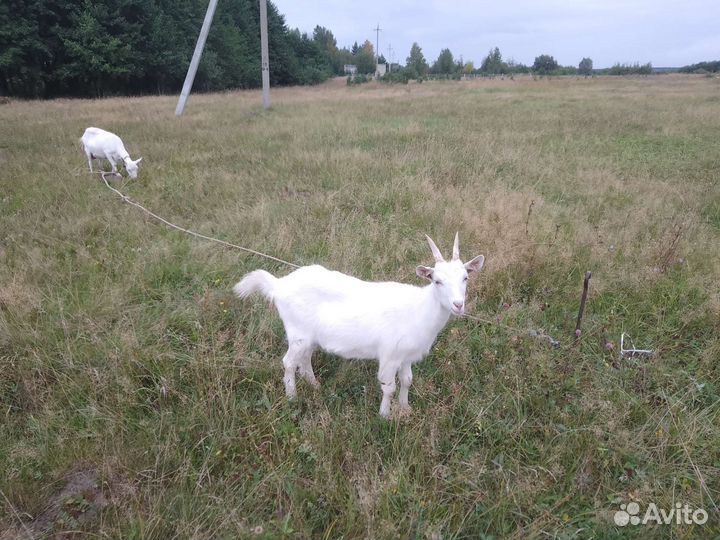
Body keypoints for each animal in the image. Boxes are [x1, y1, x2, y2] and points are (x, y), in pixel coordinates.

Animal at [234, 234, 485, 417]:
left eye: (465, 277)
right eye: (437, 280)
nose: (458, 305)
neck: (419, 309)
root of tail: (279, 285)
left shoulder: (407, 355)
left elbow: (407, 381)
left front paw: (405, 409)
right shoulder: (390, 355)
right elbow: (389, 387)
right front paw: (384, 416)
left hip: (308, 336)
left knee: (303, 359)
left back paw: (314, 385)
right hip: (298, 332)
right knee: (288, 362)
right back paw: (292, 397)